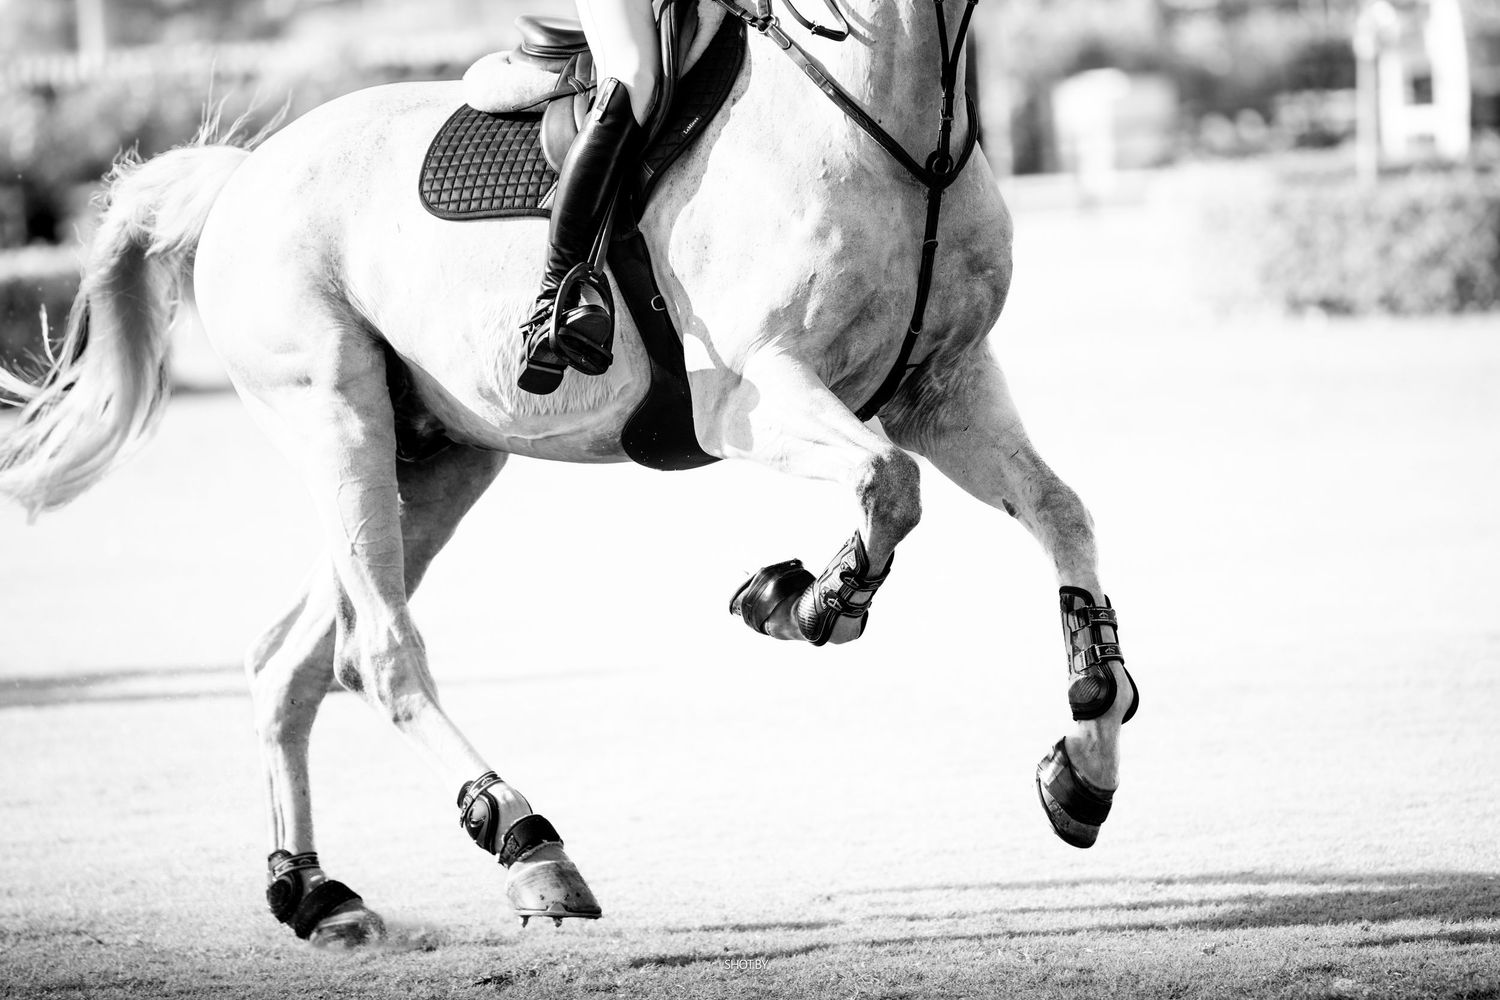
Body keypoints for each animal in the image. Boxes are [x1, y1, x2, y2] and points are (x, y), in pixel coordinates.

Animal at [0, 0, 1136, 946]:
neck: (898, 125)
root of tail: (238, 176)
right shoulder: (749, 394)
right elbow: (888, 486)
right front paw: (807, 601)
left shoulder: (944, 387)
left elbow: (1058, 510)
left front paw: (1085, 754)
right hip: (335, 420)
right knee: (379, 654)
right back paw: (528, 845)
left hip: (437, 461)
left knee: (292, 660)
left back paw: (317, 894)